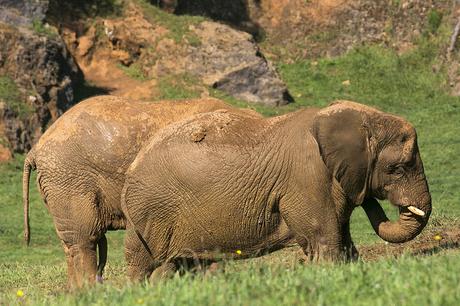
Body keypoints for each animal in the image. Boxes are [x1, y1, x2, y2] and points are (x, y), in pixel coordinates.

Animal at [121, 100, 432, 280]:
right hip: (154, 208)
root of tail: (132, 169)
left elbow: (341, 236)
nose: (369, 196)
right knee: (146, 261)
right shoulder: (307, 177)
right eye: (398, 169)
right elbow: (323, 236)